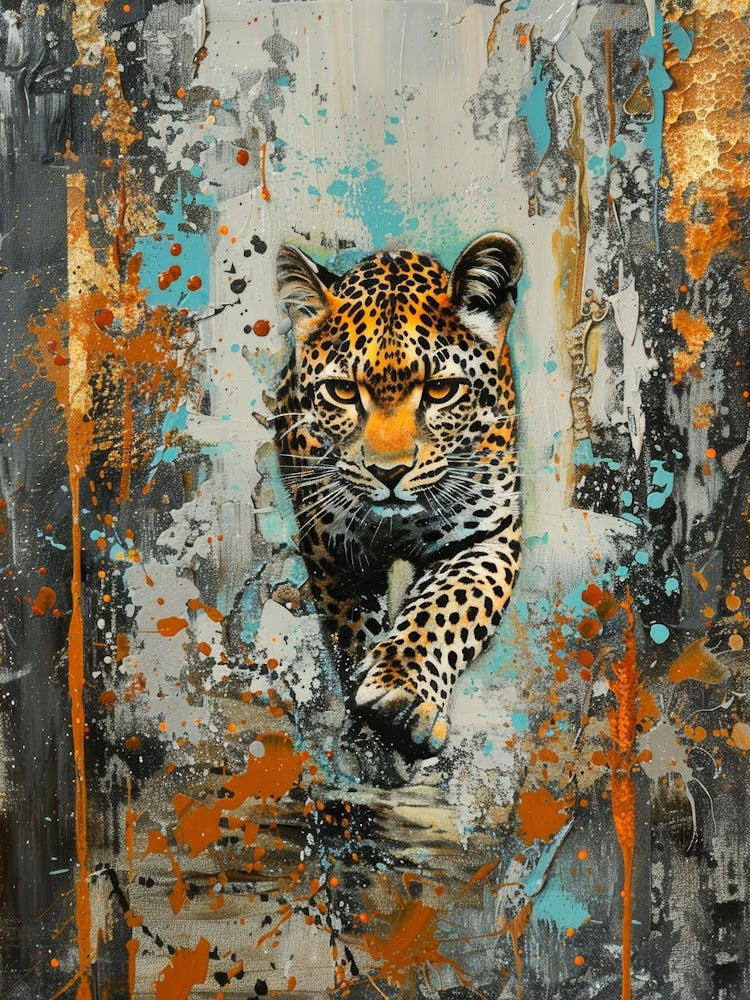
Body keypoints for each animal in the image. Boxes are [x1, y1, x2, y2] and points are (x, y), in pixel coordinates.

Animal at [271, 233, 523, 759]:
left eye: (441, 390)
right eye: (343, 391)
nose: (389, 473)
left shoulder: (485, 534)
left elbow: (446, 609)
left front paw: (402, 692)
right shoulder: (333, 543)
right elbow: (352, 625)